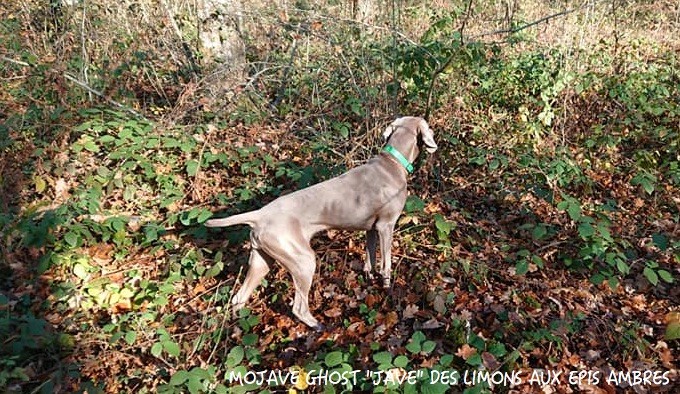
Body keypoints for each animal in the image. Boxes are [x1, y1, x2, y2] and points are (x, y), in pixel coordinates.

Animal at [207, 117, 438, 330]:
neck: (392, 162)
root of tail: (259, 215)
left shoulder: (370, 230)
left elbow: (370, 258)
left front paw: (369, 278)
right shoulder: (386, 226)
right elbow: (386, 264)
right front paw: (387, 289)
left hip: (262, 260)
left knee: (239, 298)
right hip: (302, 260)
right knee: (298, 307)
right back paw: (318, 326)